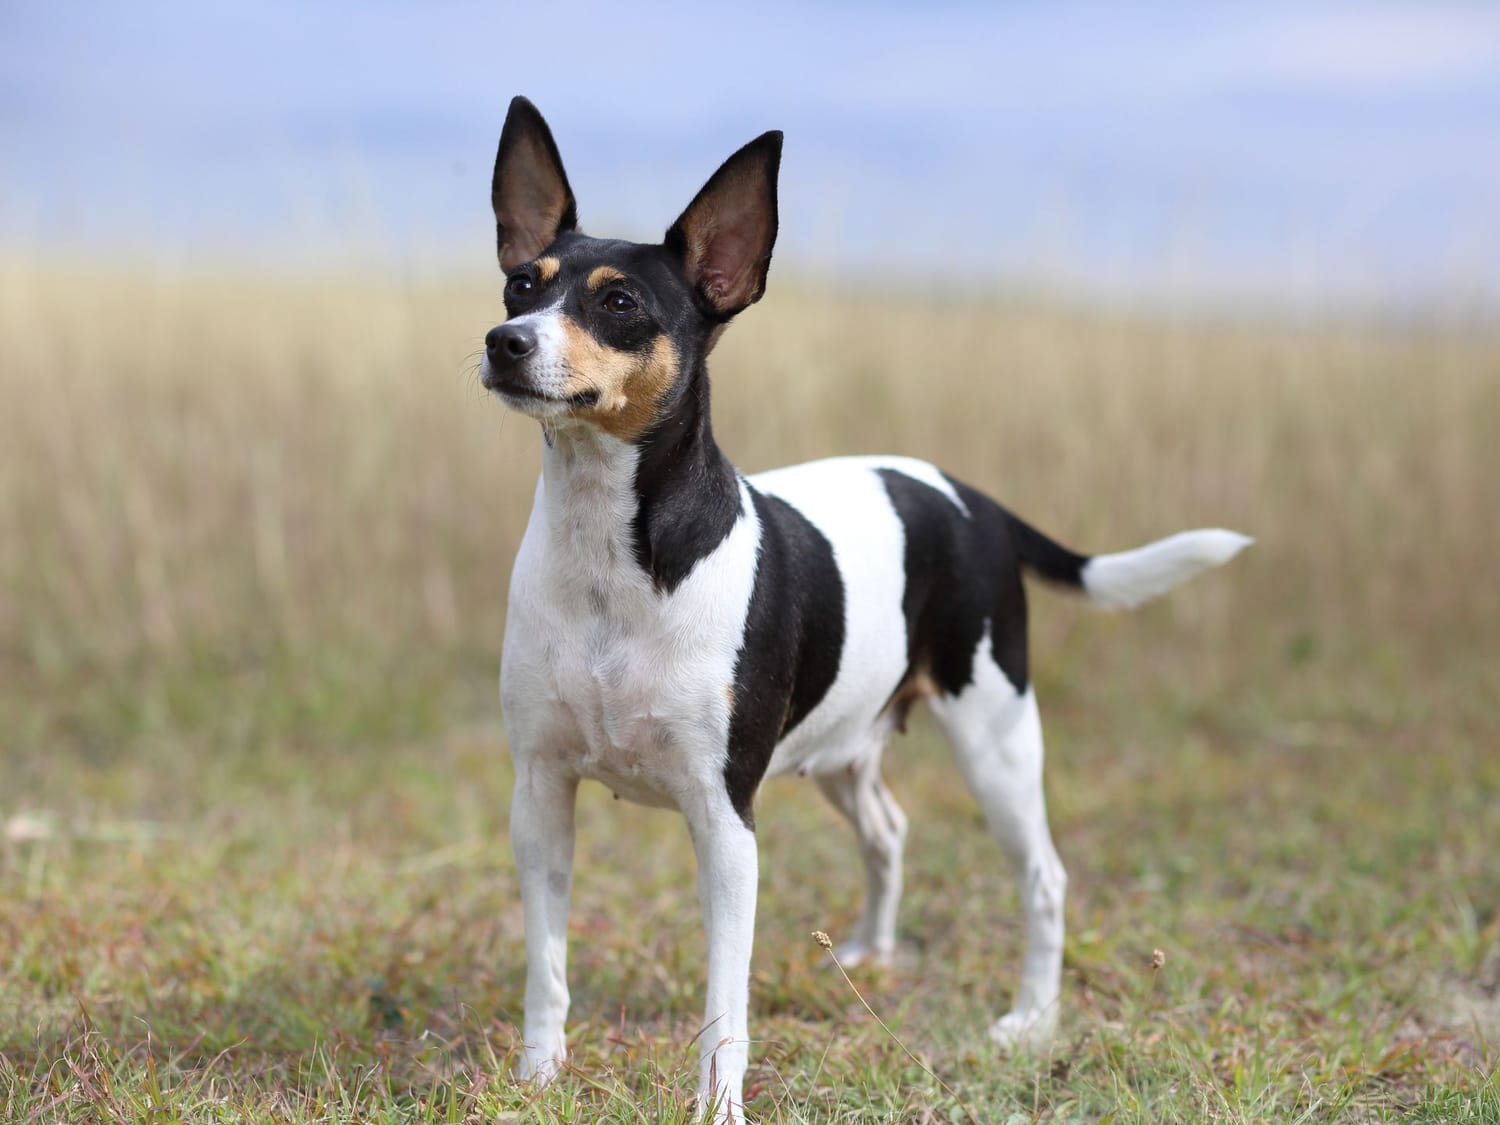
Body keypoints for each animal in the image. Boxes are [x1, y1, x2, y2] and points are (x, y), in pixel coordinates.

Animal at [483, 99, 1254, 1125]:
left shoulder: (726, 822)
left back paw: (1030, 1019)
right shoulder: (540, 794)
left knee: (1043, 877)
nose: (506, 342)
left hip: (997, 740)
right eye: (520, 284)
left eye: (619, 305)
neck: (612, 558)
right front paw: (538, 1078)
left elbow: (724, 1002)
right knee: (890, 830)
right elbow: (547, 965)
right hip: (847, 742)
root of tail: (974, 499)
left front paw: (720, 1107)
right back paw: (872, 955)